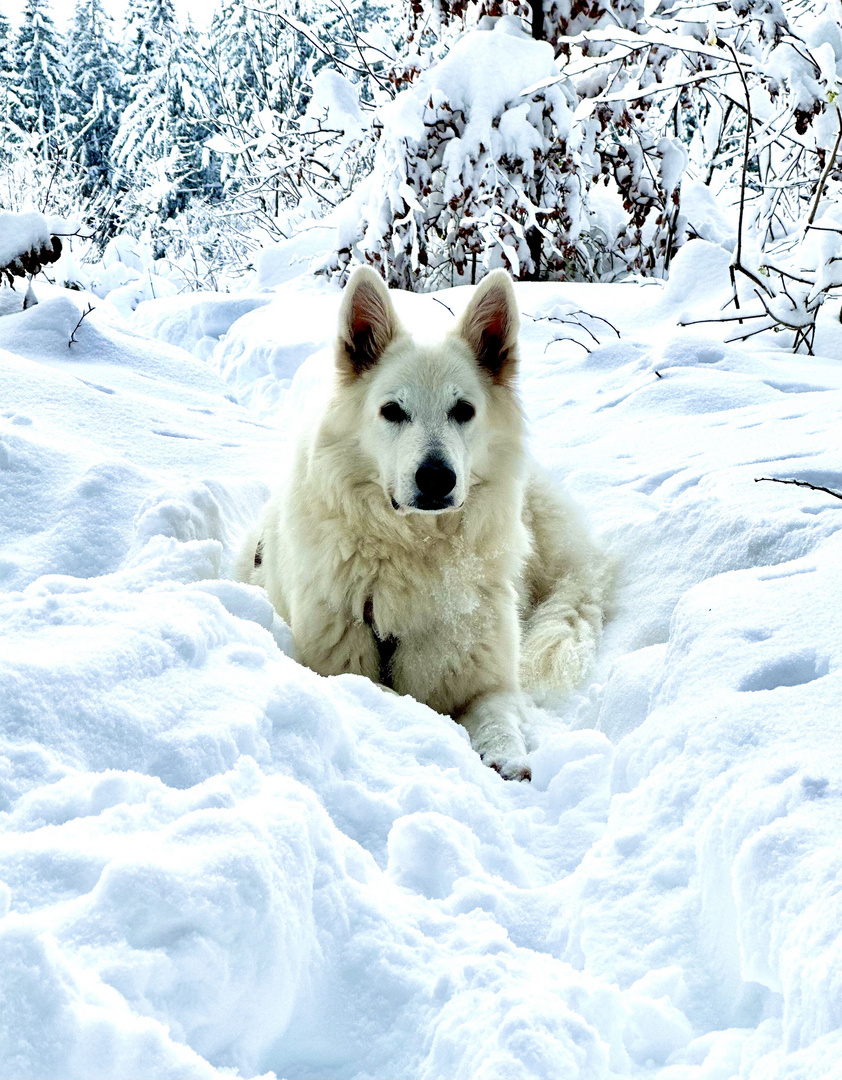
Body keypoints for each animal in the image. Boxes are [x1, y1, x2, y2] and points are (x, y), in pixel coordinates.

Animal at [236, 267, 613, 777]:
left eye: (464, 410)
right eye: (393, 411)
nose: (436, 478)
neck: (417, 550)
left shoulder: (487, 680)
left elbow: (498, 717)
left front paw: (506, 759)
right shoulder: (334, 662)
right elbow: (388, 695)